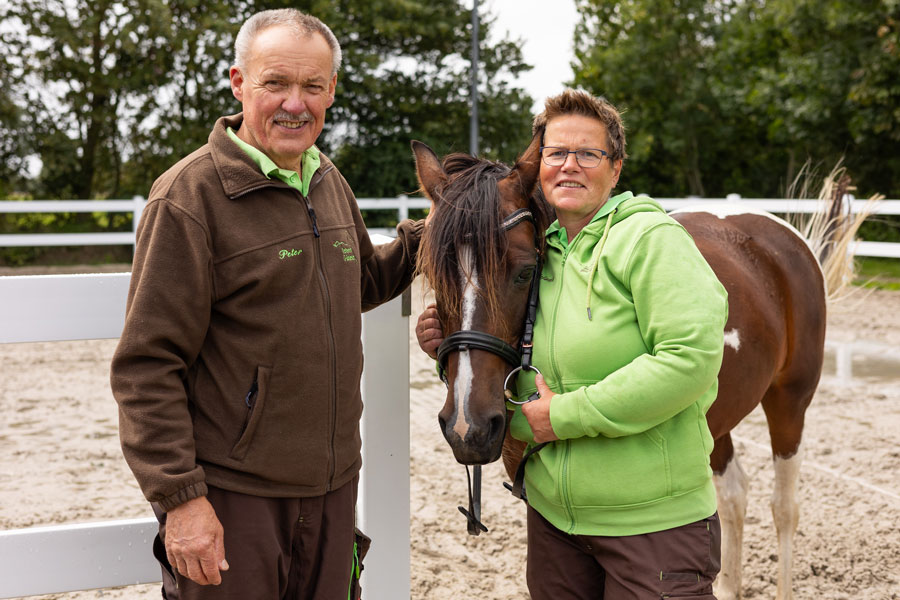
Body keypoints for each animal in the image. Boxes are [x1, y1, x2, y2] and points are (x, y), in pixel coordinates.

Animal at [414, 136, 864, 600]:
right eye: (431, 271)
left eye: (525, 271)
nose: (468, 428)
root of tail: (781, 237)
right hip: (716, 419)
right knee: (733, 493)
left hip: (790, 400)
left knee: (784, 506)